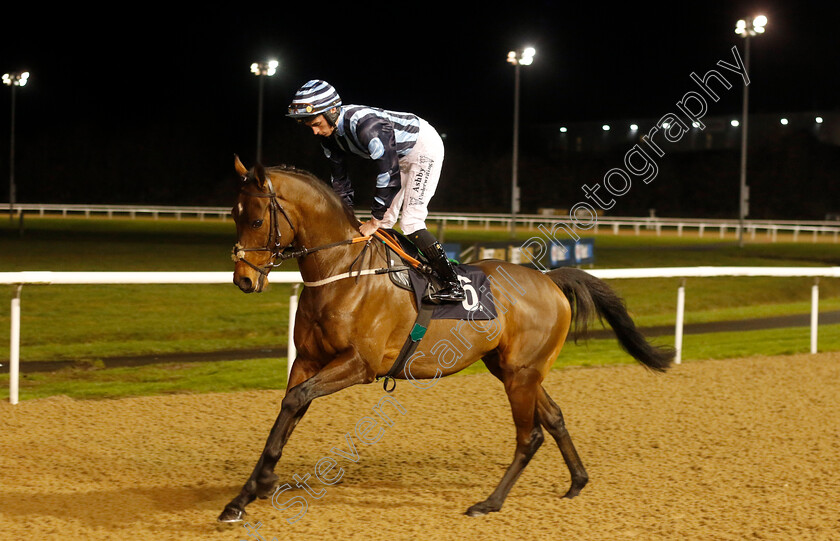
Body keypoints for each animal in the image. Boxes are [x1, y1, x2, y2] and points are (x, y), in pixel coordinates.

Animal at [220, 155, 672, 520]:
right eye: (234, 216)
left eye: (256, 219)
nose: (243, 280)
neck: (343, 271)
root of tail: (550, 279)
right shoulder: (308, 360)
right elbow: (287, 412)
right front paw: (243, 497)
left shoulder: (359, 365)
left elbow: (295, 401)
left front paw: (262, 484)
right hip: (511, 367)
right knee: (555, 417)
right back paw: (577, 480)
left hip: (521, 373)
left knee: (530, 436)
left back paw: (489, 502)